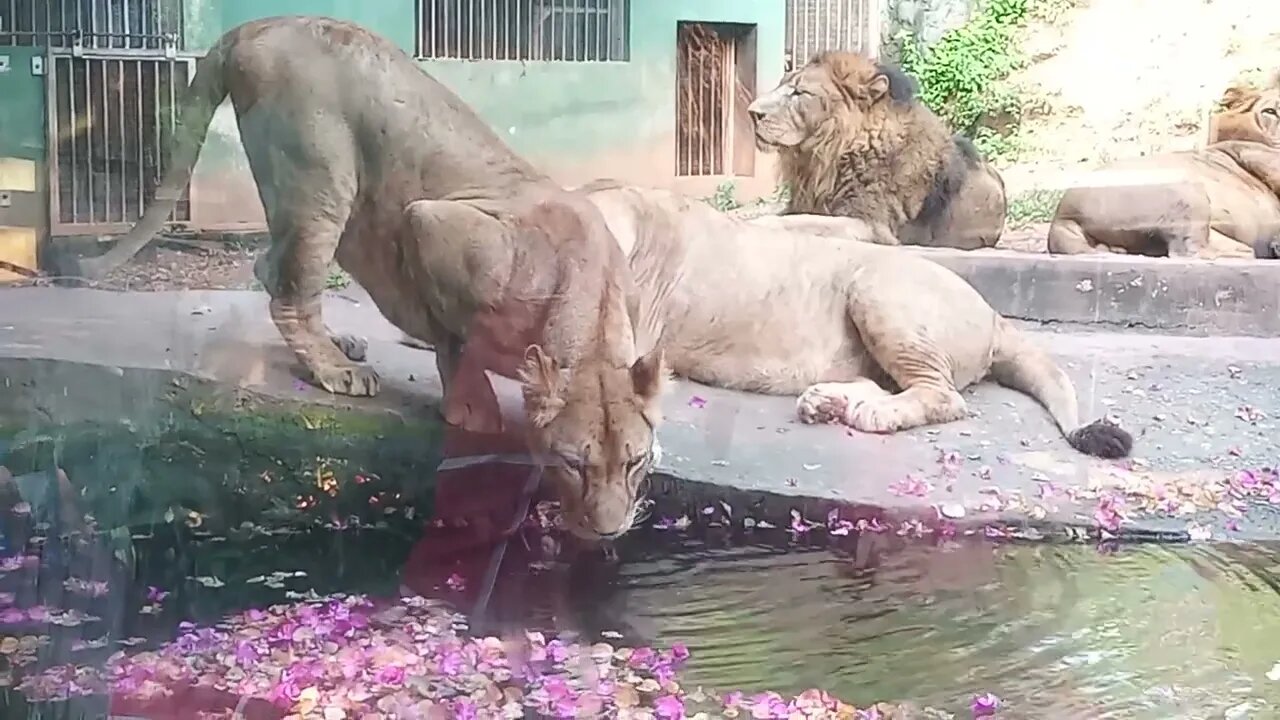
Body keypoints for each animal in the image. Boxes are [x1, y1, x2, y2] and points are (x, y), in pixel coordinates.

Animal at [576, 181, 1136, 456]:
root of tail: (993, 313)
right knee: (888, 383)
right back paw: (827, 403)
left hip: (878, 286)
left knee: (943, 396)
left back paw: (868, 414)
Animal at [747, 51, 1008, 251]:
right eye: (781, 84)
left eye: (800, 92)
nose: (752, 112)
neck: (821, 159)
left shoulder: (869, 224)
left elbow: (800, 222)